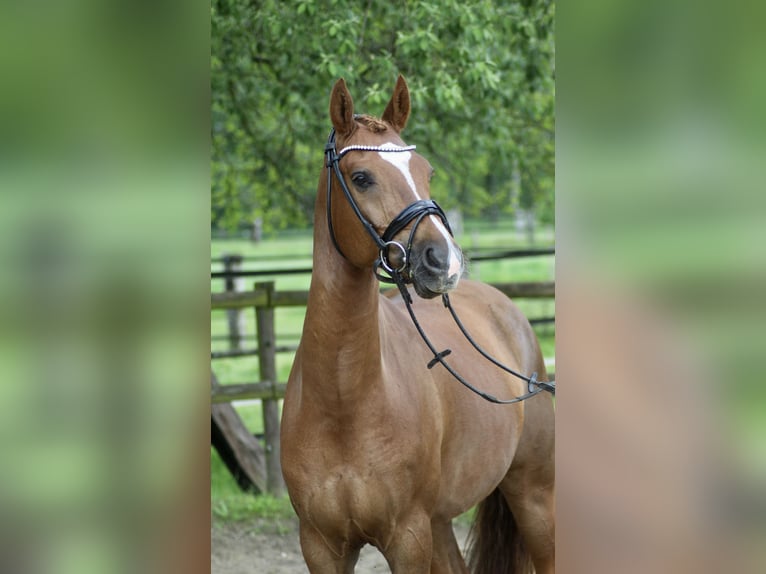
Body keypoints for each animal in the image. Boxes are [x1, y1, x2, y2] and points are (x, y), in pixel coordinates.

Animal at [282, 74, 560, 572]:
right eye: (361, 177)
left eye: (426, 171)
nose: (442, 260)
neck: (342, 402)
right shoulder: (320, 545)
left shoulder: (407, 537)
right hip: (441, 522)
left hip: (534, 497)